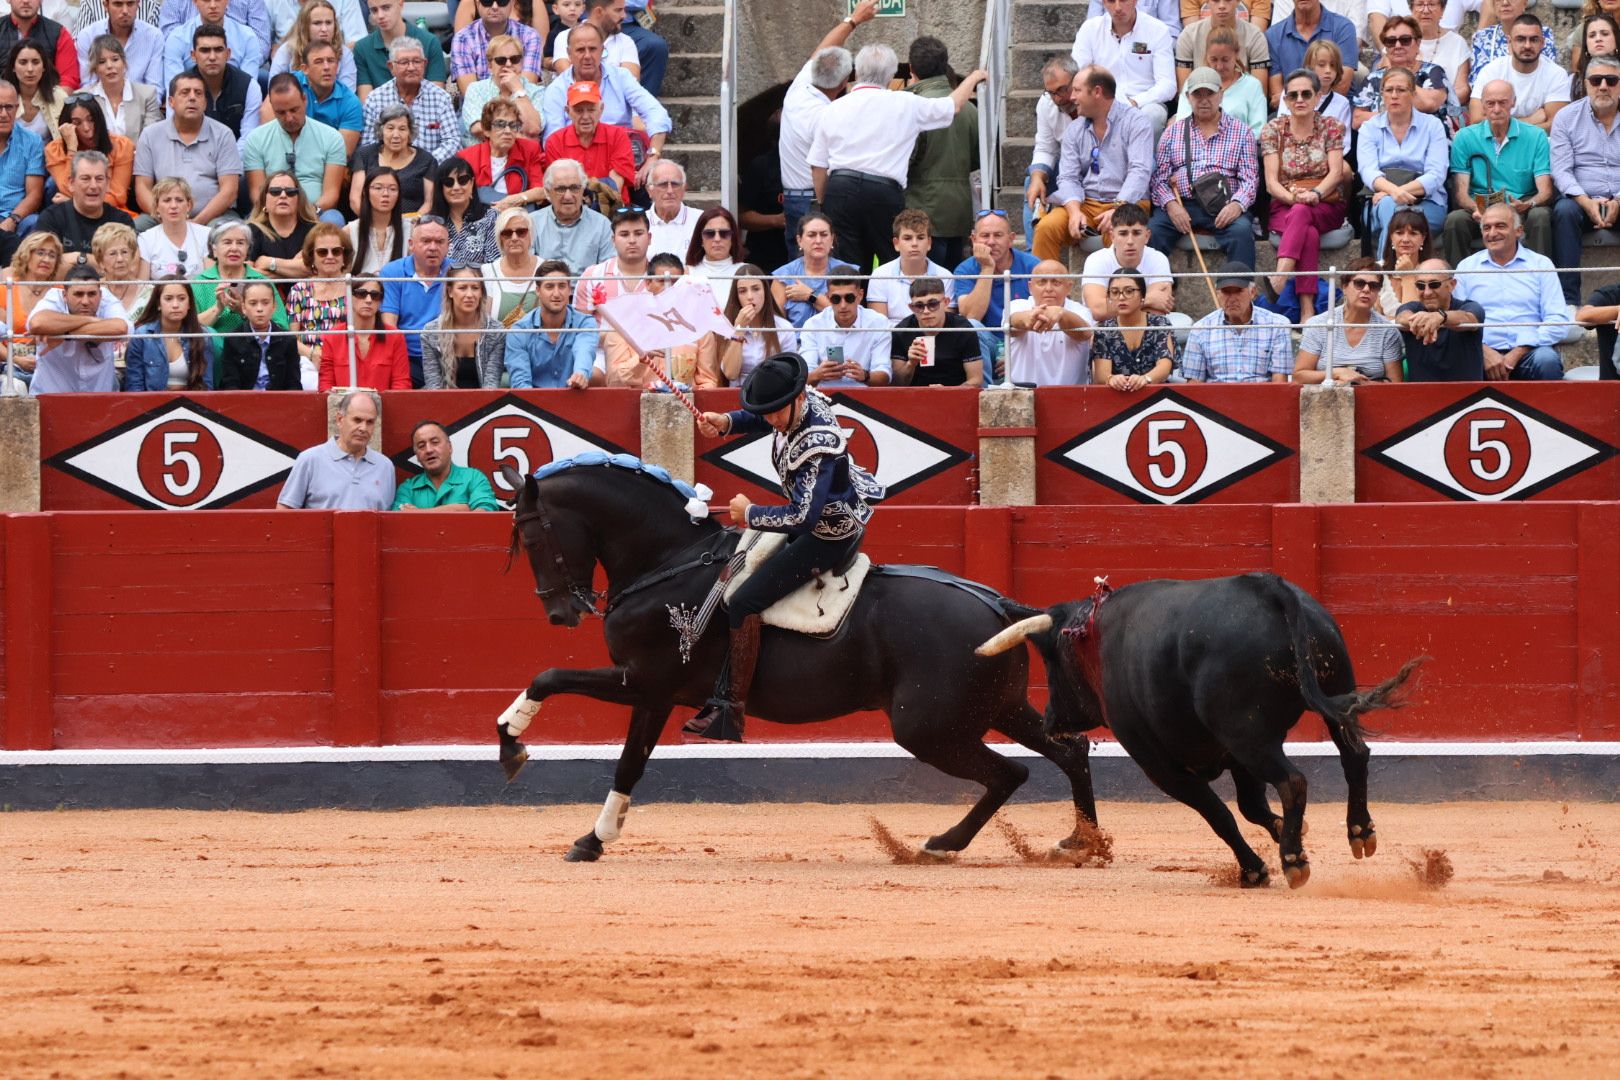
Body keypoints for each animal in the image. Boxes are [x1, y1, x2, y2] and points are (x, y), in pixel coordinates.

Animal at [498, 456, 1095, 861]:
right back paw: (1082, 843)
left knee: (1012, 771)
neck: (670, 561)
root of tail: (996, 605)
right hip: (997, 707)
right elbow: (627, 759)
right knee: (1069, 751)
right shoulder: (654, 692)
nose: (560, 613)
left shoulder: (645, 681)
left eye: (531, 536)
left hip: (928, 727)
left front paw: (516, 753)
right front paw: (592, 836)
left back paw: (942, 844)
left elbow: (553, 681)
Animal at [972, 573, 1419, 887]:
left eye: (1052, 660)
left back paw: (1293, 861)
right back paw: (1359, 832)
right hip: (1329, 694)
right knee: (1354, 755)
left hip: (1248, 734)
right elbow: (1249, 806)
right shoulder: (1232, 755)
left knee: (1293, 781)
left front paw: (1255, 869)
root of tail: (1269, 588)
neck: (1098, 637)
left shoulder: (1159, 763)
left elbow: (1218, 812)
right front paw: (1285, 833)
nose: (1050, 721)